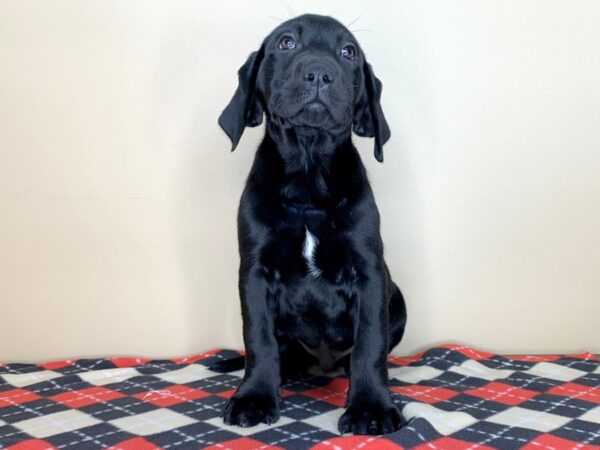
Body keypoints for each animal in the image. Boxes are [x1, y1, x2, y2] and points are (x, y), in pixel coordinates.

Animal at [217, 14, 408, 436]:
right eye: (286, 43)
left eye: (348, 52)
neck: (307, 180)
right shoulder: (254, 273)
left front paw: (370, 406)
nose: (320, 73)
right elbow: (258, 340)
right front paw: (254, 397)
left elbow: (370, 343)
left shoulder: (369, 274)